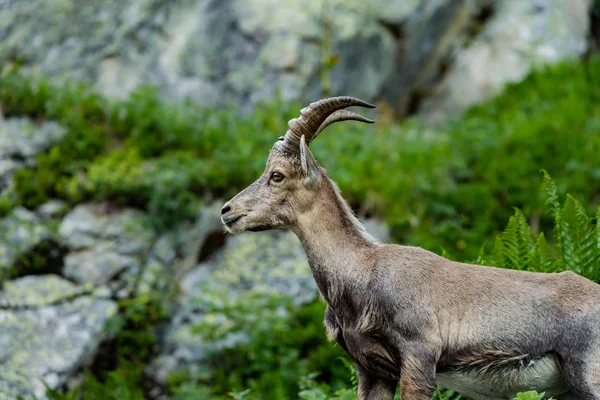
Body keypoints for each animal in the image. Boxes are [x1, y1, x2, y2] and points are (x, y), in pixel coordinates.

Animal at [220, 97, 600, 400]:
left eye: (277, 175)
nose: (227, 211)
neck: (363, 271)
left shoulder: (418, 357)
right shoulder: (371, 371)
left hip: (586, 376)